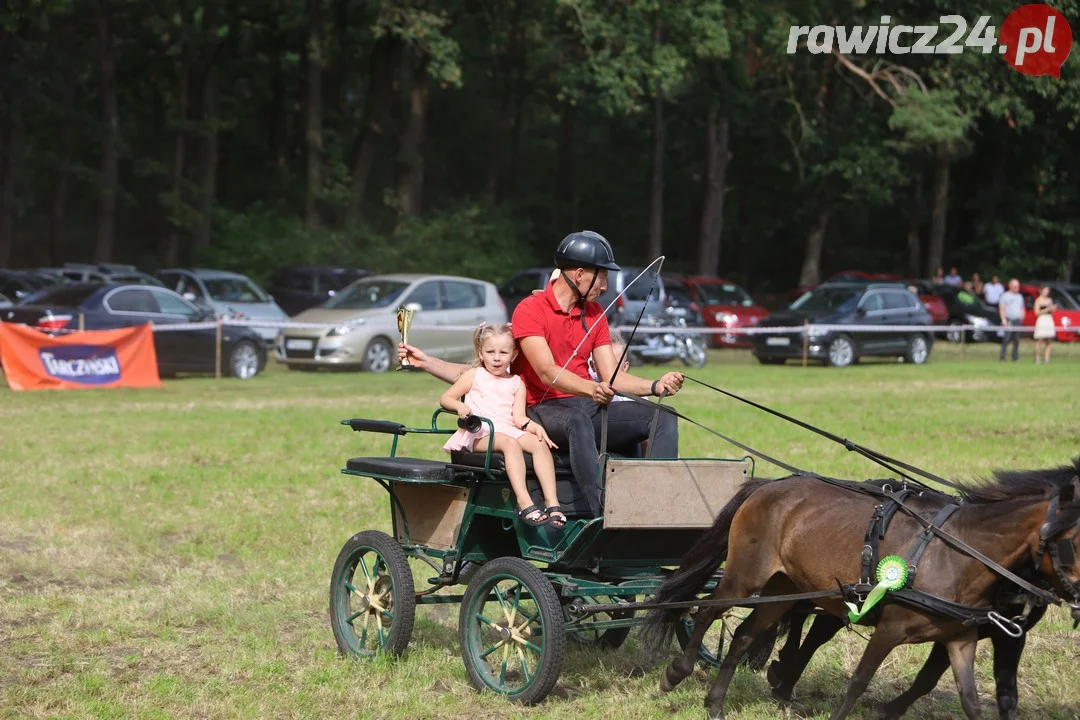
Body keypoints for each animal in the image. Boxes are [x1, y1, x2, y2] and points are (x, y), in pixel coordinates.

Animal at [639, 462, 1080, 720]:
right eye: (1073, 540)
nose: (1077, 598)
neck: (957, 552)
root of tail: (767, 486)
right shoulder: (890, 628)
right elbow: (859, 680)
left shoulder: (961, 639)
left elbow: (970, 699)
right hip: (746, 577)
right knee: (706, 612)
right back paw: (676, 673)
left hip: (784, 586)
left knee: (745, 634)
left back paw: (716, 704)